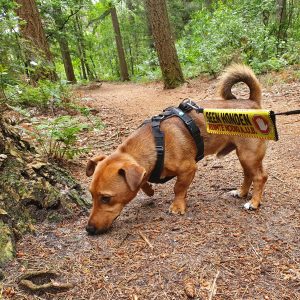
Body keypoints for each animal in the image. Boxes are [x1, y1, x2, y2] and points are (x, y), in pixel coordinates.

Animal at [84, 65, 268, 234]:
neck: (156, 144)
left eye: (106, 198)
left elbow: (178, 188)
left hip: (248, 155)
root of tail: (252, 102)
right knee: (248, 175)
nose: (89, 229)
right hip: (244, 156)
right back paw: (242, 192)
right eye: (91, 194)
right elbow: (145, 183)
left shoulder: (189, 168)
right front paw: (149, 188)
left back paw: (254, 202)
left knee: (260, 177)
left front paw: (177, 206)